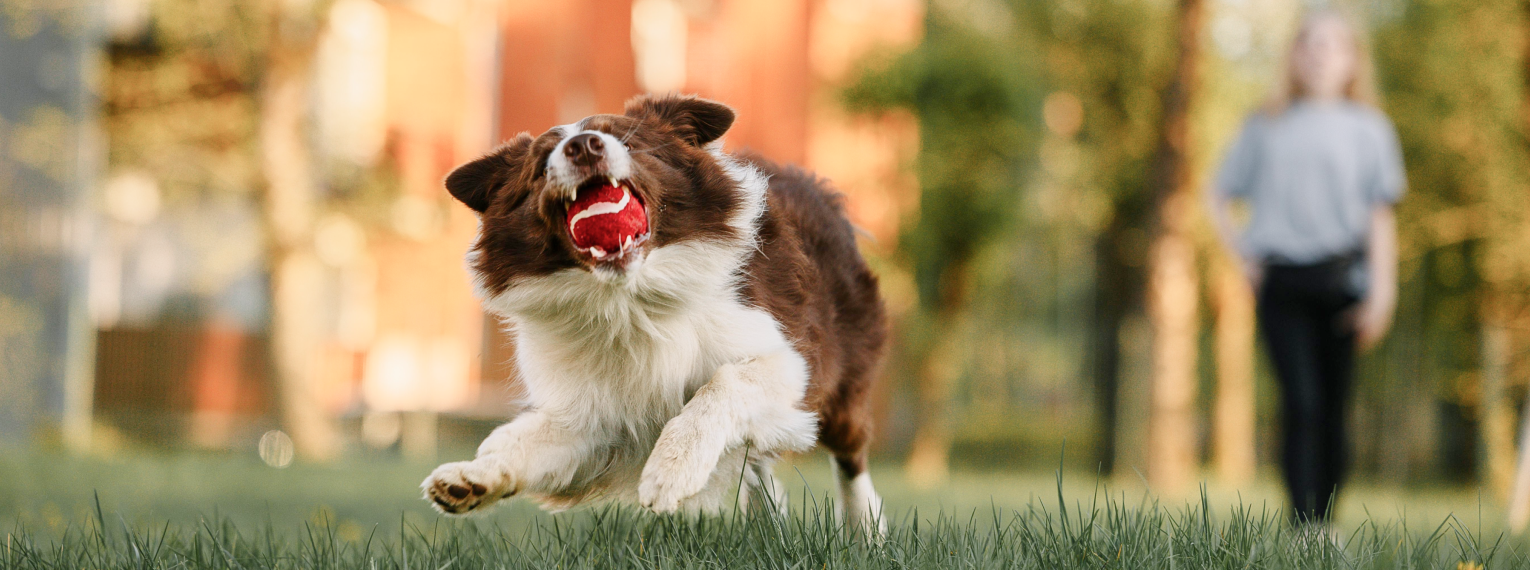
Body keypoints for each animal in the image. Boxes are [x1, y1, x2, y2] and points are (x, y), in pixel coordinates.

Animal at [425, 93, 893, 531]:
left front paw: (671, 470)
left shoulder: (792, 358)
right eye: (541, 165)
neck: (629, 298)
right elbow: (538, 440)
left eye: (629, 142)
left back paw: (866, 529)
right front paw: (471, 477)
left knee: (850, 453)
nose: (583, 146)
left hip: (844, 373)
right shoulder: (598, 415)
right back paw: (766, 519)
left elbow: (723, 383)